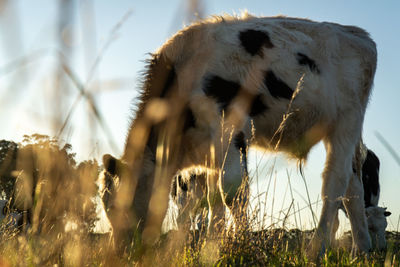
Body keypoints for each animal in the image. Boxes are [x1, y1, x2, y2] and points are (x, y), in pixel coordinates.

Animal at [101, 13, 378, 258]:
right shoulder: (209, 151)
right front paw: (211, 248)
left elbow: (232, 192)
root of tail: (358, 34)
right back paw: (361, 249)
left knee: (335, 181)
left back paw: (317, 248)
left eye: (118, 205)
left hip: (346, 122)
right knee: (354, 184)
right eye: (106, 205)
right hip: (348, 133)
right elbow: (214, 201)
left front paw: (241, 244)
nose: (119, 252)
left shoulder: (230, 128)